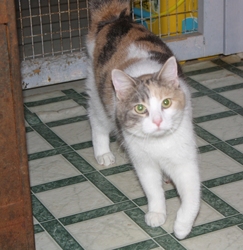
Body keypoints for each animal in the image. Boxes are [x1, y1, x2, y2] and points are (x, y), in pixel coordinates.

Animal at [86, 0, 200, 239]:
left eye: (166, 103)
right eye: (140, 108)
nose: (157, 121)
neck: (159, 144)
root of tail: (117, 19)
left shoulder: (185, 161)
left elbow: (191, 197)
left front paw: (182, 226)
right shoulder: (143, 163)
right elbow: (153, 190)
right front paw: (157, 213)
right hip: (99, 97)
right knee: (95, 119)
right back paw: (103, 153)